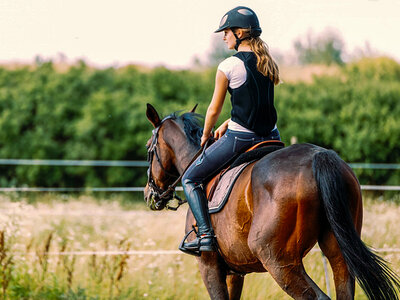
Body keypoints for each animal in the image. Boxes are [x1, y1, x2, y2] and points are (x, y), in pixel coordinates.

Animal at [144, 103, 400, 300]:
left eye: (149, 149)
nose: (149, 194)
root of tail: (319, 156)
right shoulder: (235, 273)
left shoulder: (209, 266)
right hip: (338, 252)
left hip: (279, 261)